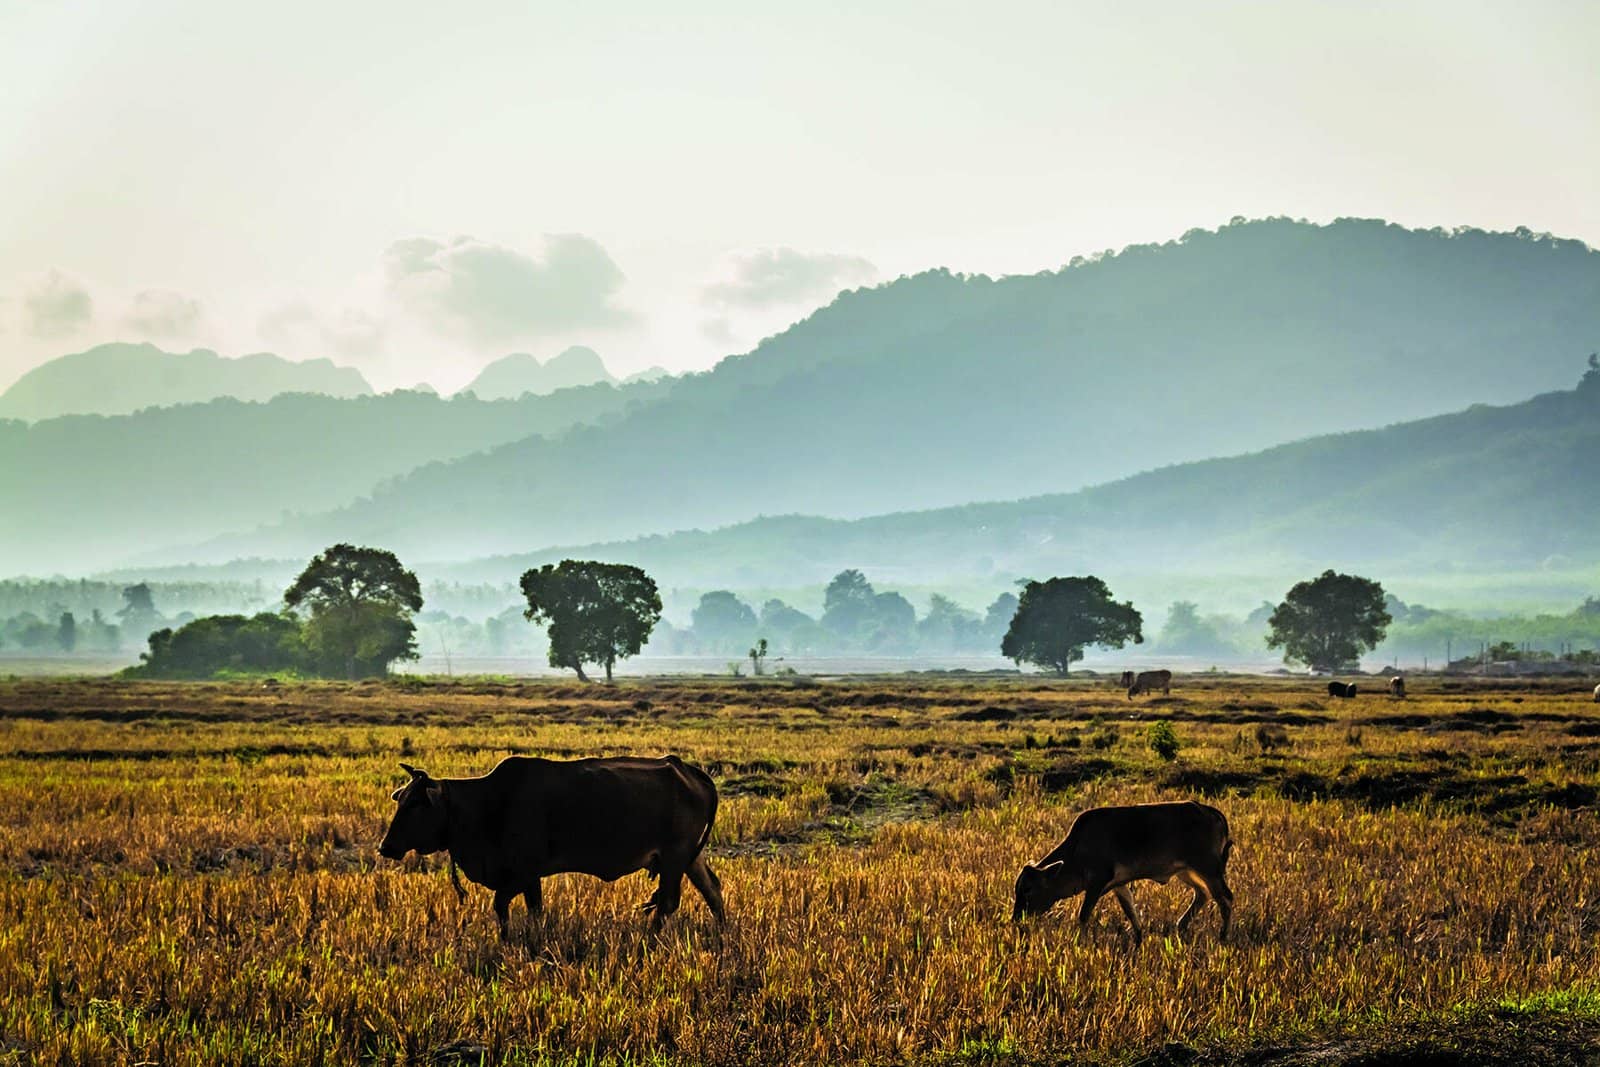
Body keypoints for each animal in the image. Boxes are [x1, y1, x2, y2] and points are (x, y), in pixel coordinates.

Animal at [374, 755, 726, 940]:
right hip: (689, 859)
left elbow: (503, 905)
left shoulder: (524, 872)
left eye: (415, 804)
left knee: (668, 902)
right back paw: (723, 935)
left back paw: (649, 941)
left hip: (674, 859)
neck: (487, 803)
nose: (385, 847)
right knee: (712, 890)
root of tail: (688, 770)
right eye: (400, 800)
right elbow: (528, 909)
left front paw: (512, 941)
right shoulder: (528, 878)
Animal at [1011, 796, 1235, 947]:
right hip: (1188, 871)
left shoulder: (1097, 882)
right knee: (1203, 894)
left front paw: (1079, 943)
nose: (1016, 918)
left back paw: (1223, 936)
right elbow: (1131, 912)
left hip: (1209, 869)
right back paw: (1182, 925)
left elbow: (1083, 915)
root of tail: (1209, 811)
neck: (1077, 848)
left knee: (1225, 899)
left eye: (1028, 889)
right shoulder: (1119, 884)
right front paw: (1138, 939)